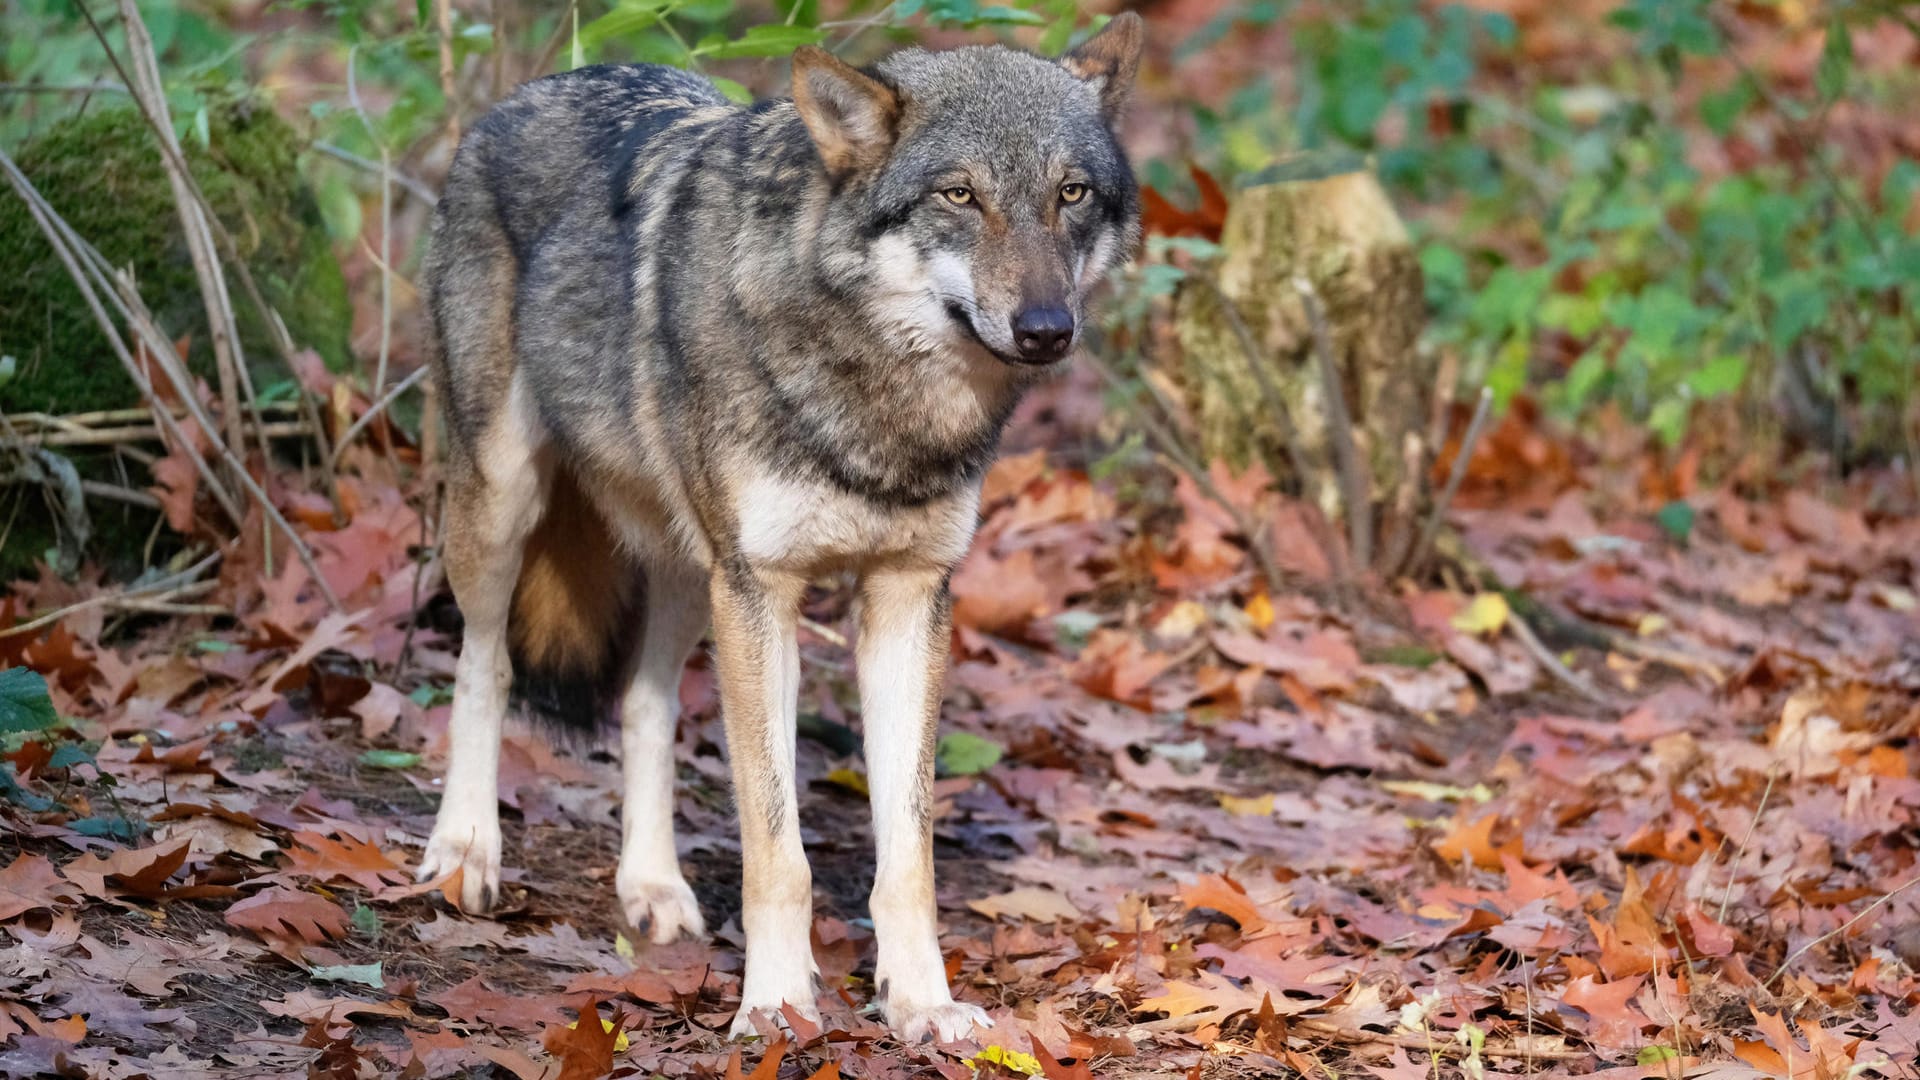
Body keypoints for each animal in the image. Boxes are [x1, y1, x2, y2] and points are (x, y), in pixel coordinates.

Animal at [416, 16, 1136, 1037]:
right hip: (507, 506)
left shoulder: (905, 597)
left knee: (645, 704)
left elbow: (906, 854)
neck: (881, 405)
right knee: (486, 664)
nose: (1045, 328)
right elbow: (777, 847)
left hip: (691, 570)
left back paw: (653, 888)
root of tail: (534, 87)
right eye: (960, 194)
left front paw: (922, 1004)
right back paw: (467, 850)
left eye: (1069, 193)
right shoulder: (765, 593)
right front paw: (779, 1005)